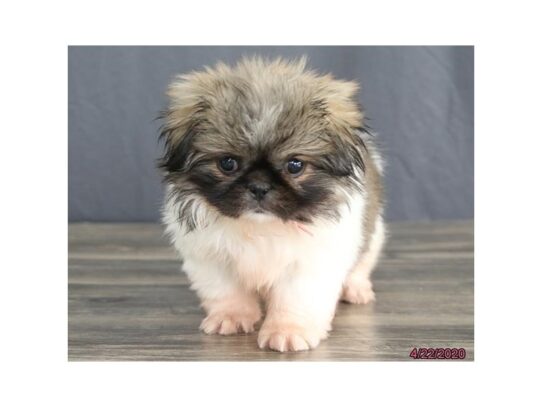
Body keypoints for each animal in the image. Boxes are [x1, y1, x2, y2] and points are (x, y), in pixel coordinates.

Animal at [159, 55, 384, 352]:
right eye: (227, 163)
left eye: (295, 165)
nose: (259, 187)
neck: (261, 227)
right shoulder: (210, 257)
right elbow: (226, 291)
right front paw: (231, 317)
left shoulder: (311, 263)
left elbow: (295, 300)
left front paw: (288, 331)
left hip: (374, 236)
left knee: (361, 264)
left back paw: (356, 289)